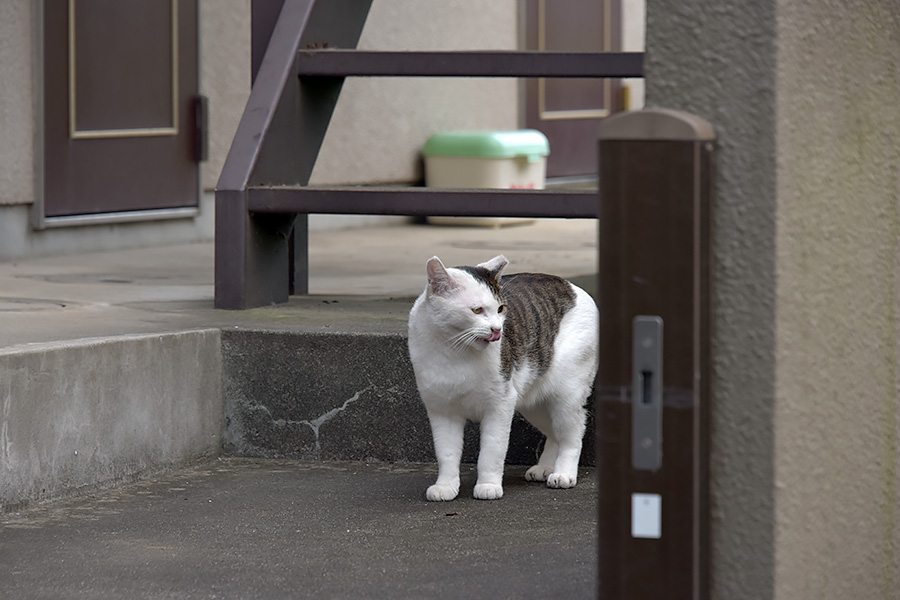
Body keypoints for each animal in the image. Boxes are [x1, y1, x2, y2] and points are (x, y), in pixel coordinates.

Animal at [408, 254, 596, 502]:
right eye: (477, 310)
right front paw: (446, 486)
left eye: (501, 308)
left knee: (572, 434)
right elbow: (446, 453)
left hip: (565, 396)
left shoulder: (500, 405)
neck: (455, 350)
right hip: (533, 403)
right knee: (554, 433)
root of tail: (572, 285)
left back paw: (563, 473)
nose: (497, 329)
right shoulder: (442, 410)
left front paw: (488, 485)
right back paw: (546, 468)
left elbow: (491, 451)